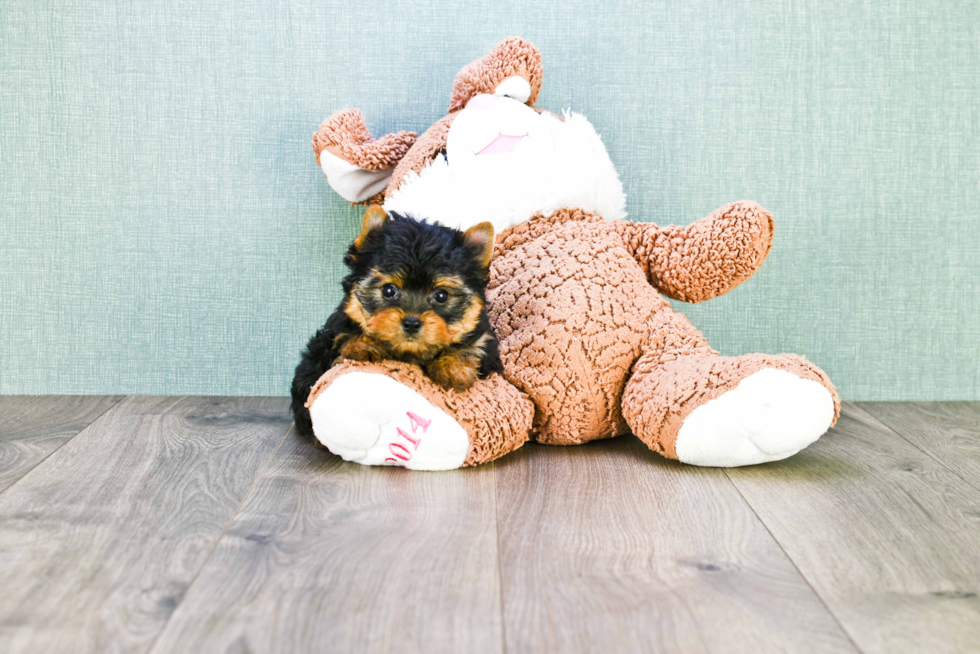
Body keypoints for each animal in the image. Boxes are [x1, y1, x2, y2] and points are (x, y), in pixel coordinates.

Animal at [290, 208, 506, 438]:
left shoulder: (486, 345)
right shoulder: (329, 340)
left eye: (441, 295)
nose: (411, 322)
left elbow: (471, 345)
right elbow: (344, 339)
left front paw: (453, 367)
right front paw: (364, 345)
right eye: (388, 290)